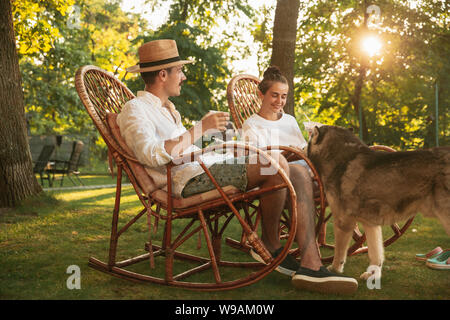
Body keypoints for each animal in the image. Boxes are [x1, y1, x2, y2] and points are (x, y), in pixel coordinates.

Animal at [308, 125, 448, 280]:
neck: (340, 159)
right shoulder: (371, 224)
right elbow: (375, 253)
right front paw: (373, 274)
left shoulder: (343, 221)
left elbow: (339, 252)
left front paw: (335, 269)